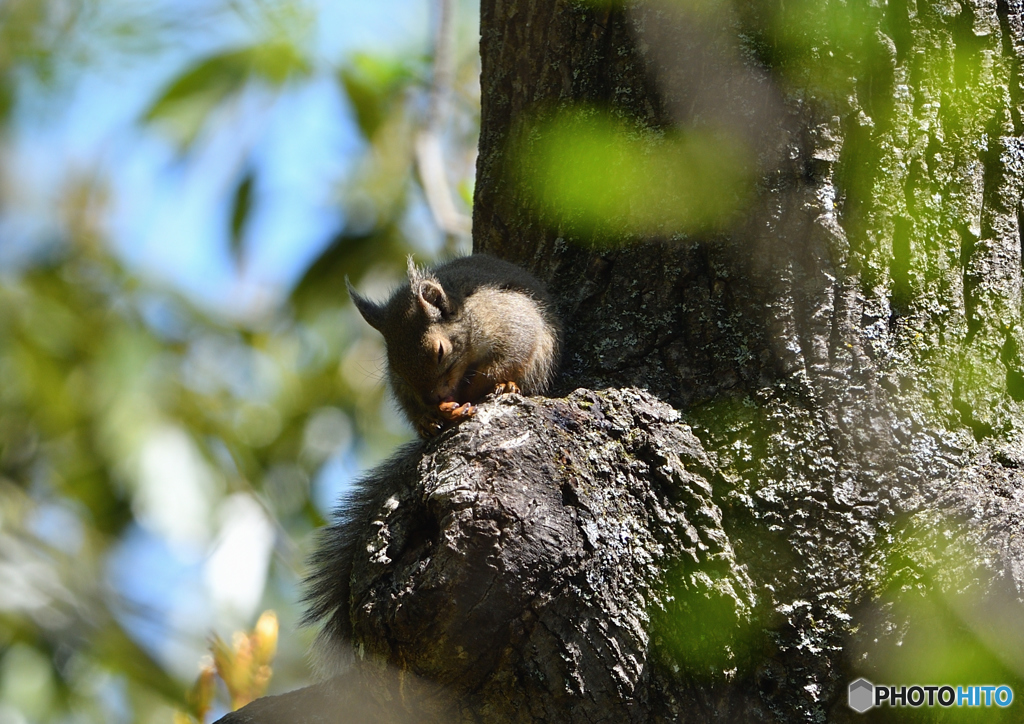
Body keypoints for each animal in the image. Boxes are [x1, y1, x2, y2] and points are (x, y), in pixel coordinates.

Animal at [350, 254, 561, 436]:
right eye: (395, 367)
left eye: (440, 351)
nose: (433, 398)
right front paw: (432, 415)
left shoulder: (512, 326)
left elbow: (502, 364)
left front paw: (469, 393)